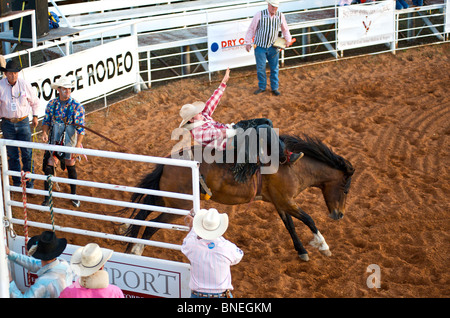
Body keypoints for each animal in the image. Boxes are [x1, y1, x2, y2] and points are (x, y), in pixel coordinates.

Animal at [125, 134, 354, 260]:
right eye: (346, 190)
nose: (340, 214)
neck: (293, 166)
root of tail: (168, 163)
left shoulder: (280, 202)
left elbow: (290, 225)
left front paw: (302, 251)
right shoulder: (287, 201)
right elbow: (308, 219)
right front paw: (323, 246)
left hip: (165, 199)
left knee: (142, 217)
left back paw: (129, 246)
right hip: (178, 206)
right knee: (151, 226)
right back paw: (137, 251)